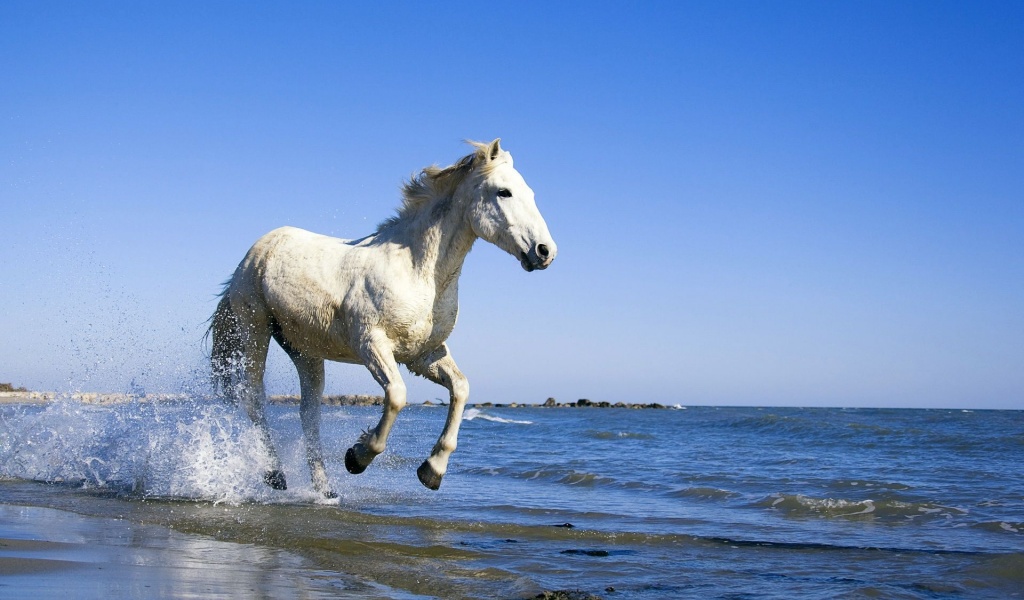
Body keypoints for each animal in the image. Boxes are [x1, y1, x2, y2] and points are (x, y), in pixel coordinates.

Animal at [210, 139, 557, 495]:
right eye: (504, 192)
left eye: (529, 193)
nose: (545, 251)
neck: (417, 271)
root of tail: (256, 250)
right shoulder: (372, 344)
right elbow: (397, 396)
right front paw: (357, 457)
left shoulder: (423, 354)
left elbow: (461, 389)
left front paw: (432, 471)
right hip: (255, 330)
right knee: (253, 399)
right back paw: (275, 474)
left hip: (305, 351)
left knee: (309, 415)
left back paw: (325, 489)